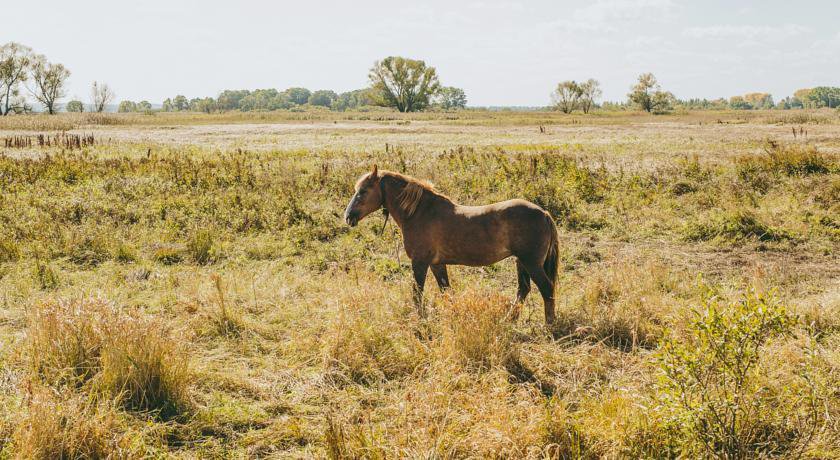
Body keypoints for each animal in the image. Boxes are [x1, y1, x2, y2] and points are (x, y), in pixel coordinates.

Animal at [342, 165, 556, 324]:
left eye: (363, 191)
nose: (348, 217)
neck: (419, 212)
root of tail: (544, 213)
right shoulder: (437, 264)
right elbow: (446, 291)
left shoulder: (420, 263)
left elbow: (417, 293)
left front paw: (420, 319)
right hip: (521, 262)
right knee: (523, 290)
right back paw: (509, 320)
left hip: (531, 263)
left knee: (546, 289)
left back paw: (549, 324)